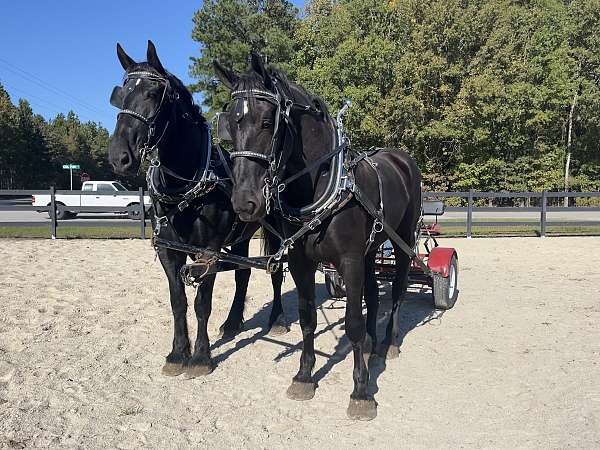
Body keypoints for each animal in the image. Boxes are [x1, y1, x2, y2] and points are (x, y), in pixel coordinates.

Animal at [108, 41, 288, 380]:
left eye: (154, 93)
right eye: (120, 95)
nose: (119, 156)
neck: (188, 185)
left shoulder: (209, 251)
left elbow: (202, 303)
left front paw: (202, 357)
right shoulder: (169, 250)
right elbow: (178, 301)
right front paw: (178, 353)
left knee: (275, 271)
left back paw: (279, 320)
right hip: (241, 236)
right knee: (243, 273)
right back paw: (232, 323)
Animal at [216, 54, 422, 420]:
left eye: (268, 121)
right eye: (232, 124)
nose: (244, 201)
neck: (328, 181)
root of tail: (401, 158)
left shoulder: (349, 261)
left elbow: (352, 322)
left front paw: (361, 391)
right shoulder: (301, 261)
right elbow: (308, 318)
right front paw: (304, 375)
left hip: (402, 240)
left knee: (397, 287)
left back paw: (389, 342)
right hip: (372, 248)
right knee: (374, 291)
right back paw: (371, 344)